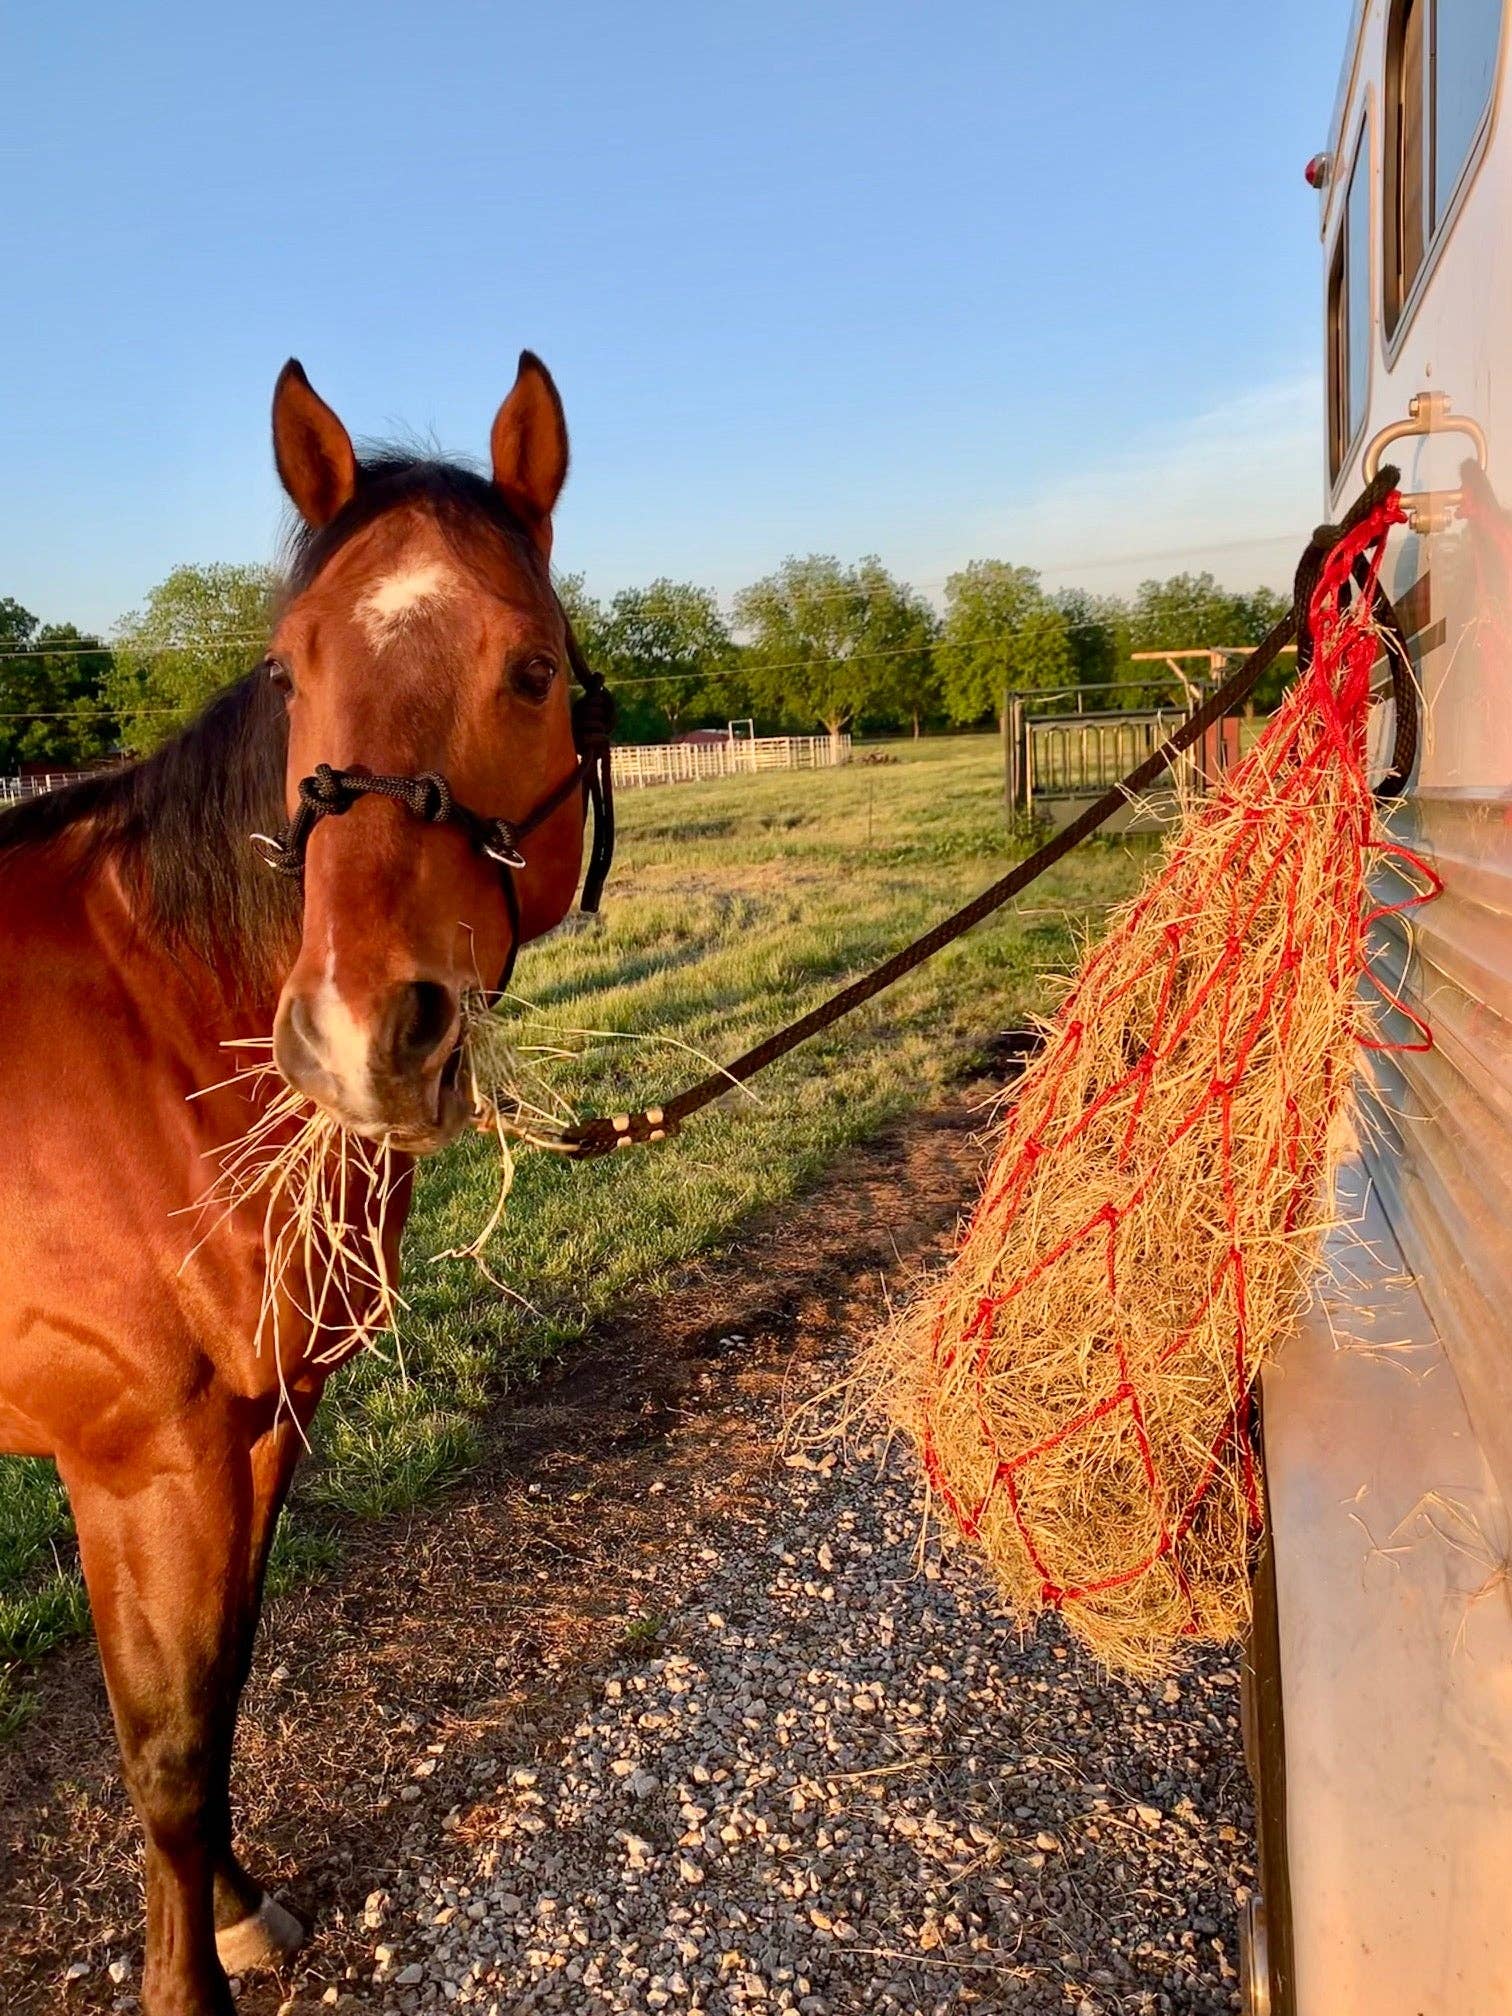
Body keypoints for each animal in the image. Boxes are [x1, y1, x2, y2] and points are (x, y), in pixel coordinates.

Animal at [0, 353, 608, 2016]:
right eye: (293, 670)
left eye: (532, 669)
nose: (358, 1036)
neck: (154, 1026)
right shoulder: (140, 1463)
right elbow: (163, 1744)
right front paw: (183, 1983)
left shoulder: (262, 1425)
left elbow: (222, 1690)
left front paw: (232, 1908)